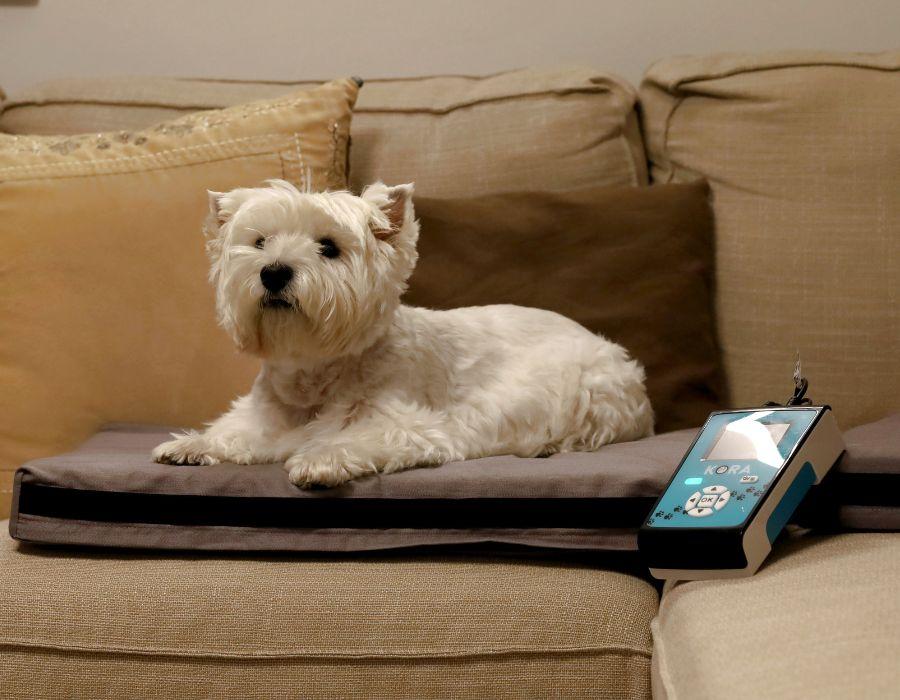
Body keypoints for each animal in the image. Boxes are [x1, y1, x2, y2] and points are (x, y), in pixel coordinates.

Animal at [152, 180, 654, 487]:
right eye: (259, 242)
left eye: (329, 247)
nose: (273, 273)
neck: (316, 372)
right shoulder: (267, 418)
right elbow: (236, 431)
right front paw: (190, 445)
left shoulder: (416, 425)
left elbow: (360, 437)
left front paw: (320, 459)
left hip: (593, 387)